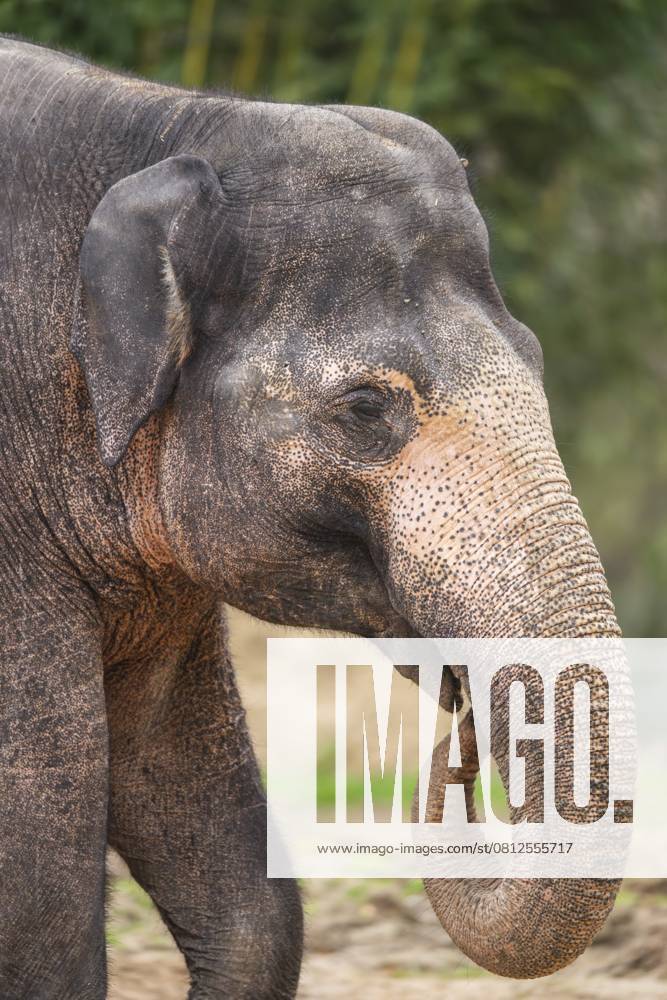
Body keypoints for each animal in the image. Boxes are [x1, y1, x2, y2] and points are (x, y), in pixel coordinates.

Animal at [0, 35, 625, 999]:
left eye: (537, 358)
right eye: (366, 407)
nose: (459, 739)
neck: (170, 125)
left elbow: (230, 878)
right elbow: (41, 899)